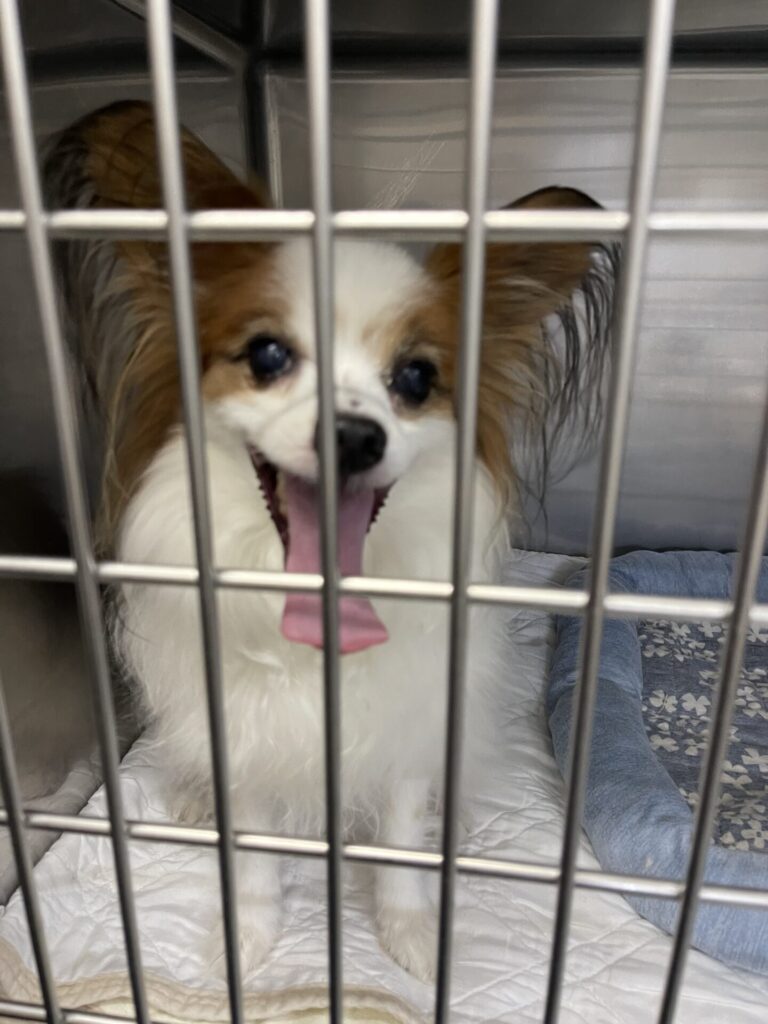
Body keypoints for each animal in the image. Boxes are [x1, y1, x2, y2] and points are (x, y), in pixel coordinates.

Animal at [44, 101, 614, 981]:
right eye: (267, 355)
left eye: (415, 378)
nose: (352, 435)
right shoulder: (242, 733)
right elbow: (250, 857)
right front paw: (248, 938)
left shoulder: (409, 724)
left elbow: (404, 839)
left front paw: (411, 935)